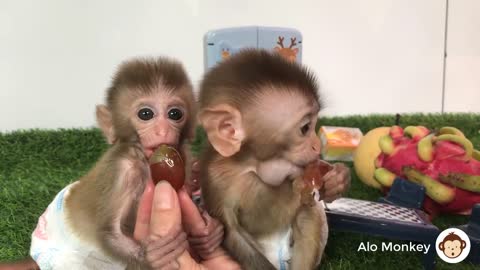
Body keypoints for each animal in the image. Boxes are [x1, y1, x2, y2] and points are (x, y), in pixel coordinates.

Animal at [29, 56, 223, 268]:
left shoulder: (184, 157)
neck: (144, 161)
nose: (163, 131)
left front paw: (209, 235)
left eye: (175, 114)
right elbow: (109, 232)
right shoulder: (121, 169)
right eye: (145, 114)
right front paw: (153, 255)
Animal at [197, 49, 328, 270]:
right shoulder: (216, 178)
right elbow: (233, 234)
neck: (249, 167)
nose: (317, 145)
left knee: (307, 214)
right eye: (305, 128)